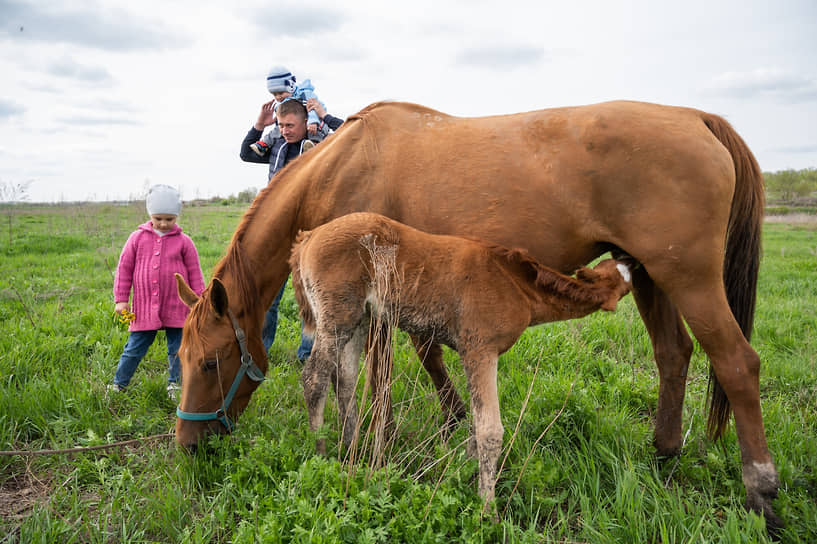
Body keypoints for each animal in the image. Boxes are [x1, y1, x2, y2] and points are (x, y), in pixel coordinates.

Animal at [290, 212, 636, 506]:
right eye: (627, 282)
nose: (629, 256)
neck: (517, 286)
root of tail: (309, 236)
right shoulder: (480, 350)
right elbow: (490, 430)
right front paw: (487, 507)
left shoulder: (475, 355)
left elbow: (475, 423)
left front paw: (463, 472)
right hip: (337, 317)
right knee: (315, 378)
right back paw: (322, 451)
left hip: (359, 318)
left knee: (345, 379)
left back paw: (352, 451)